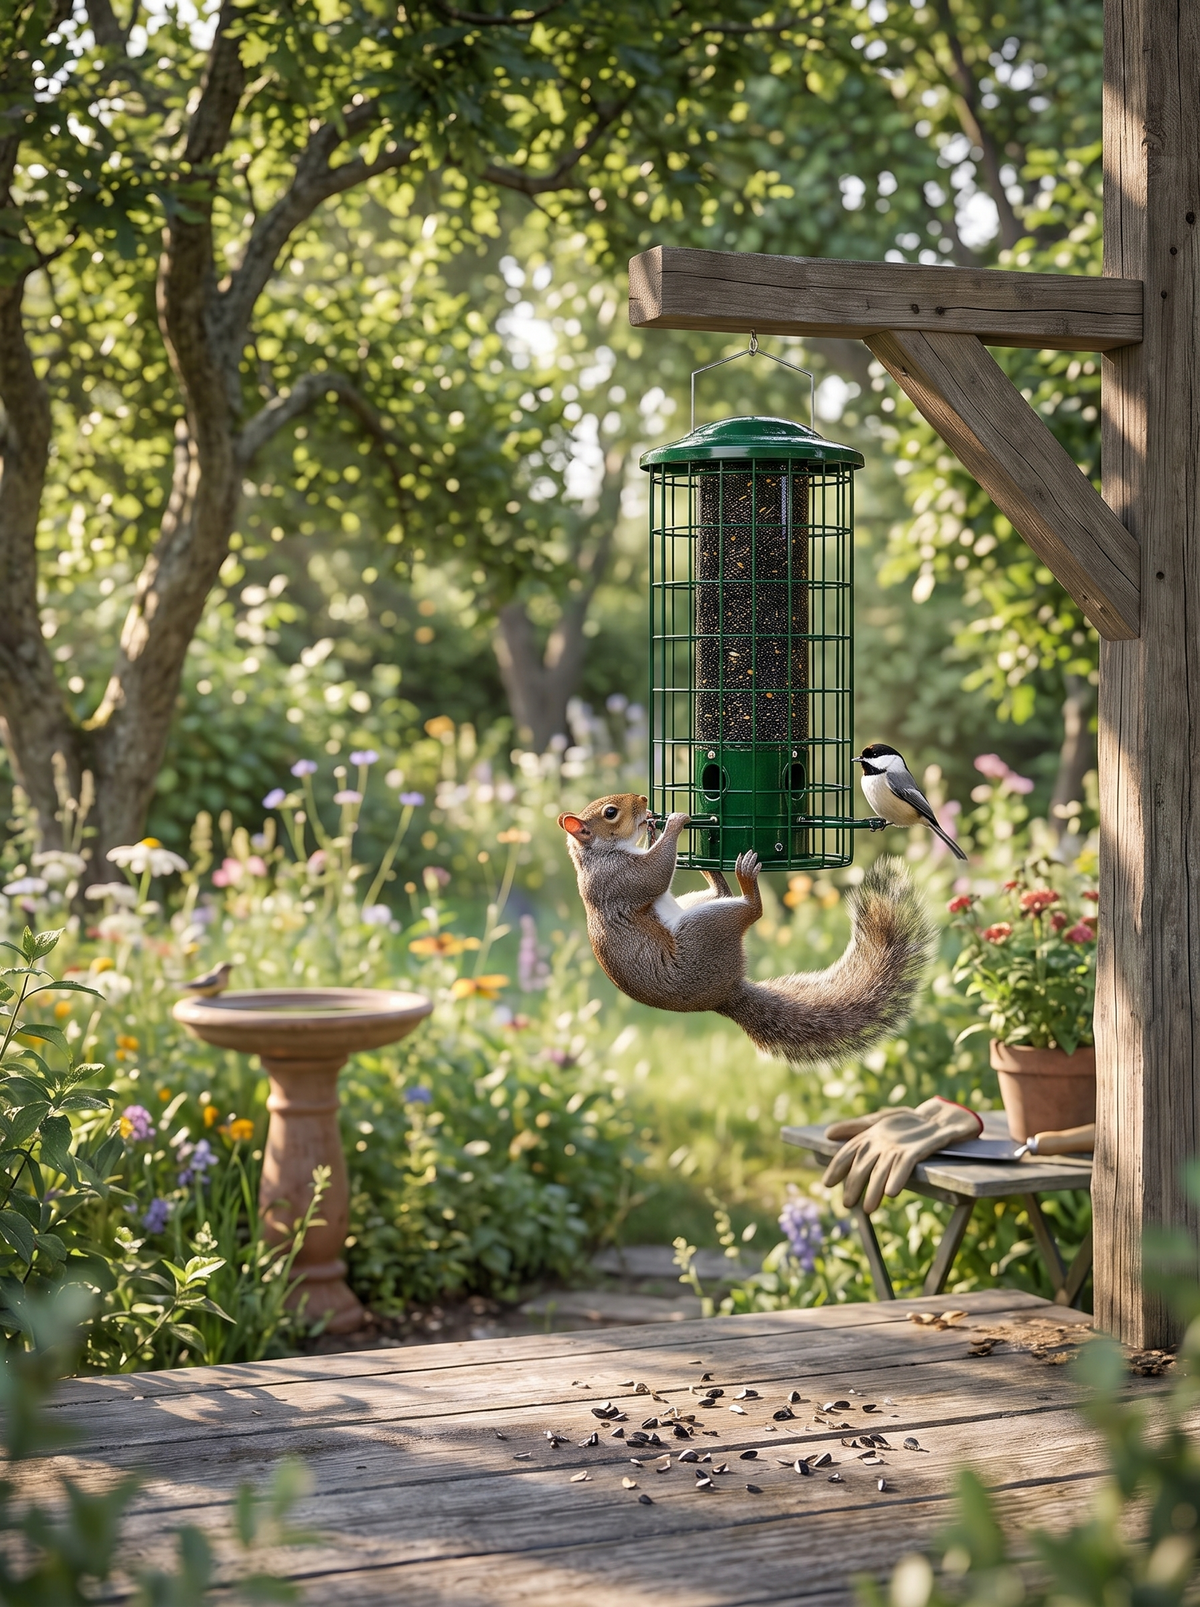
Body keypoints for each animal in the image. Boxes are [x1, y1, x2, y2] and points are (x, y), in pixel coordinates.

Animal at [558, 793, 931, 1064]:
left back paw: (714, 870)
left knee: (722, 894)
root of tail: (727, 993)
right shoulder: (620, 880)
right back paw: (746, 878)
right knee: (753, 910)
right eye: (610, 812)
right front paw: (674, 824)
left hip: (694, 905)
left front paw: (657, 829)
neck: (598, 854)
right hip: (703, 928)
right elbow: (655, 874)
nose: (643, 800)